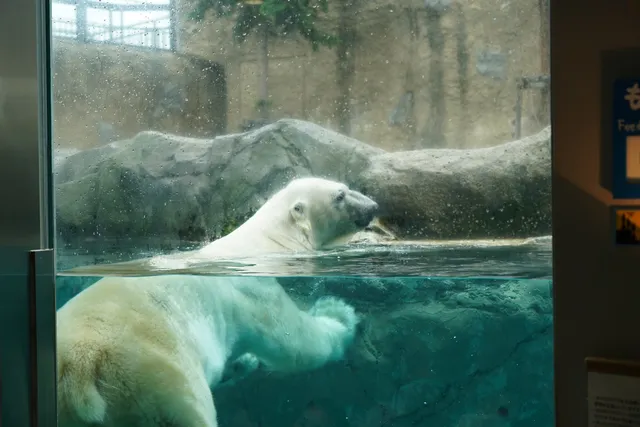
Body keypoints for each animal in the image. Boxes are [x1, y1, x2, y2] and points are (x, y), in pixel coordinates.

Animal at [56, 274, 359, 427]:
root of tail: (81, 364)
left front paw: (243, 362)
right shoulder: (253, 293)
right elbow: (296, 343)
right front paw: (340, 314)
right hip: (158, 386)